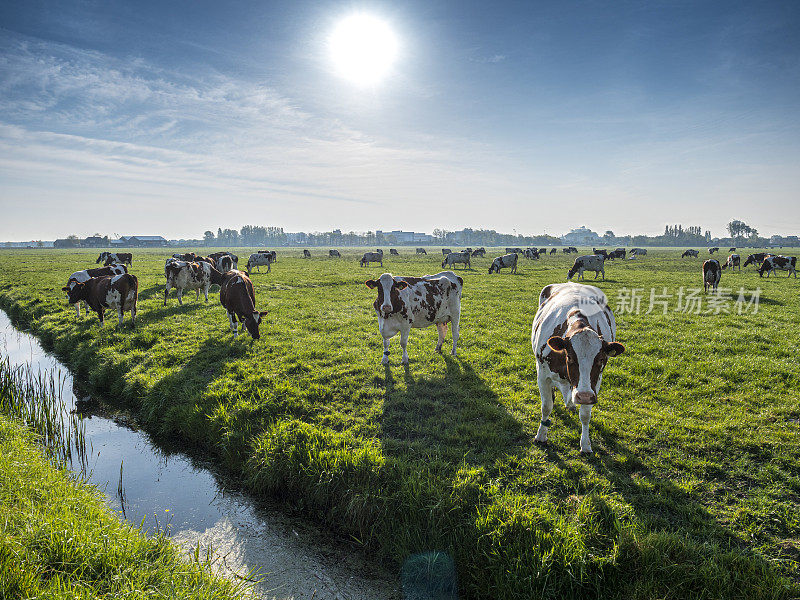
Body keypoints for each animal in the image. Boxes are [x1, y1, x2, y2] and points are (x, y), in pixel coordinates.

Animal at [532, 284, 624, 452]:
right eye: (570, 357)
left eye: (601, 359)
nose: (584, 396)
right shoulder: (542, 376)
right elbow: (547, 406)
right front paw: (541, 436)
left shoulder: (595, 384)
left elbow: (585, 415)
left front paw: (586, 445)